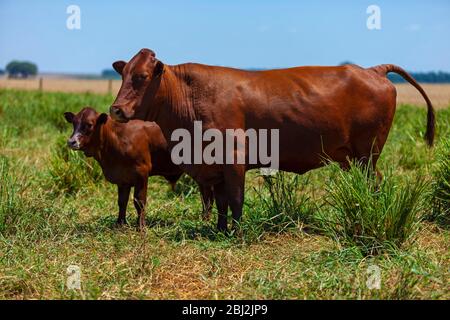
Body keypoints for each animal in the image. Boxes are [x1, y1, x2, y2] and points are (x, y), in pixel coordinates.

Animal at [107, 48, 434, 232]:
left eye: (142, 76)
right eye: (124, 74)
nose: (116, 109)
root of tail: (371, 70)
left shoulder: (234, 161)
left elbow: (236, 200)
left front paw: (237, 233)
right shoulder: (214, 169)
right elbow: (222, 203)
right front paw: (220, 230)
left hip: (368, 155)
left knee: (374, 182)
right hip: (352, 159)